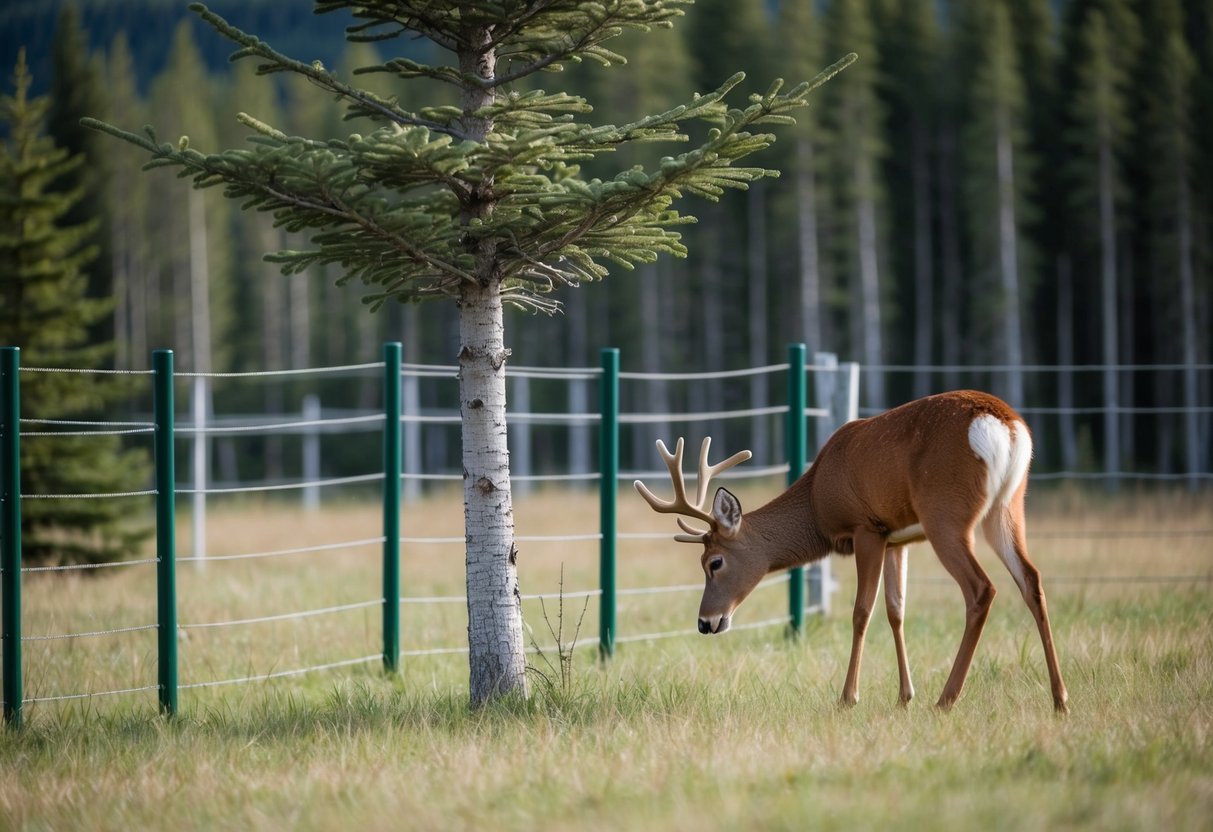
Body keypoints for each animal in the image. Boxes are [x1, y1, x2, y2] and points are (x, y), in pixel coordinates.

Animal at [635, 388, 1072, 713]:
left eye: (714, 562)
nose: (705, 622)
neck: (816, 501)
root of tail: (1006, 425)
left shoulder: (868, 528)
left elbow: (862, 611)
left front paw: (848, 697)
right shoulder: (899, 538)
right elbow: (897, 609)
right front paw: (903, 696)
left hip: (946, 513)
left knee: (981, 589)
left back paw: (946, 700)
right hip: (1008, 506)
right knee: (1031, 579)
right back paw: (1060, 699)